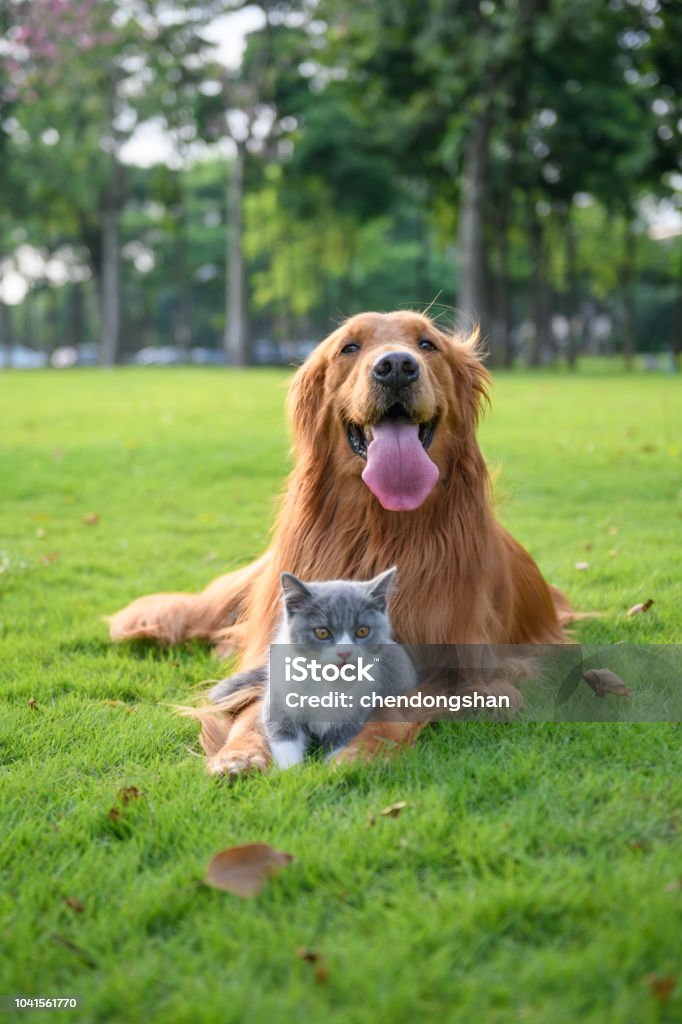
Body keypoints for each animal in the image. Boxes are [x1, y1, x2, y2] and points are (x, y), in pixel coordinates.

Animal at [209, 569, 417, 770]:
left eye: (362, 631)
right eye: (322, 632)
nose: (344, 652)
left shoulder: (355, 713)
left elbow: (340, 742)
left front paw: (335, 769)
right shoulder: (279, 701)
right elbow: (284, 737)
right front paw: (290, 772)